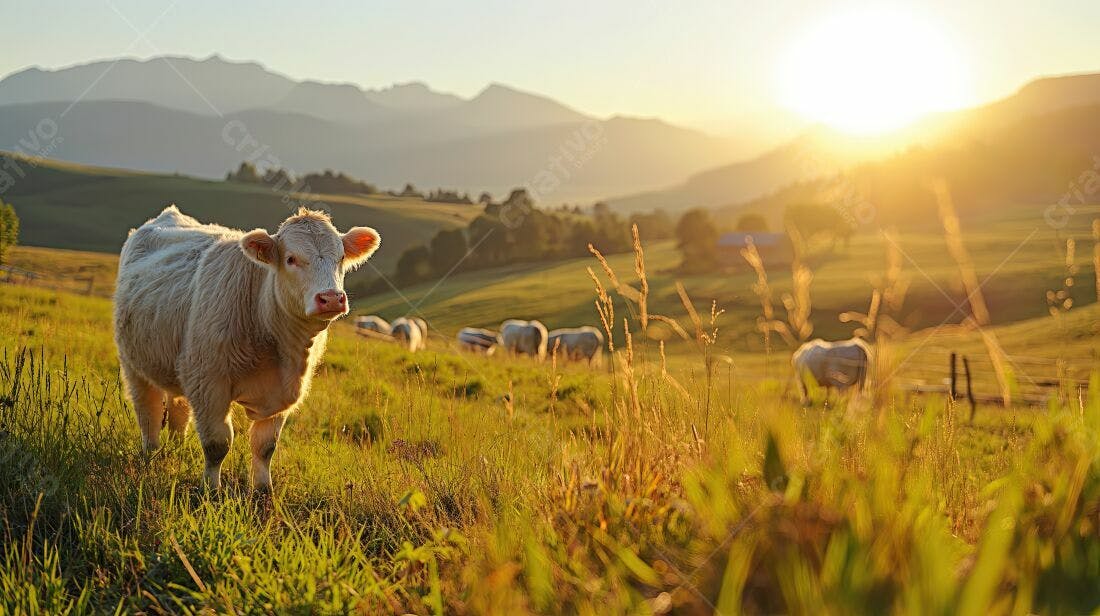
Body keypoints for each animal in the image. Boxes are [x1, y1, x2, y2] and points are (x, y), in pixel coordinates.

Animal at [114, 205, 380, 490]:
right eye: (291, 259)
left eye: (340, 258)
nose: (331, 298)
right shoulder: (209, 384)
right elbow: (217, 444)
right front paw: (211, 490)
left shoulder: (280, 396)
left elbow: (265, 446)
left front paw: (263, 490)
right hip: (134, 366)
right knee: (148, 413)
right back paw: (150, 456)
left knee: (178, 412)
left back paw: (177, 450)